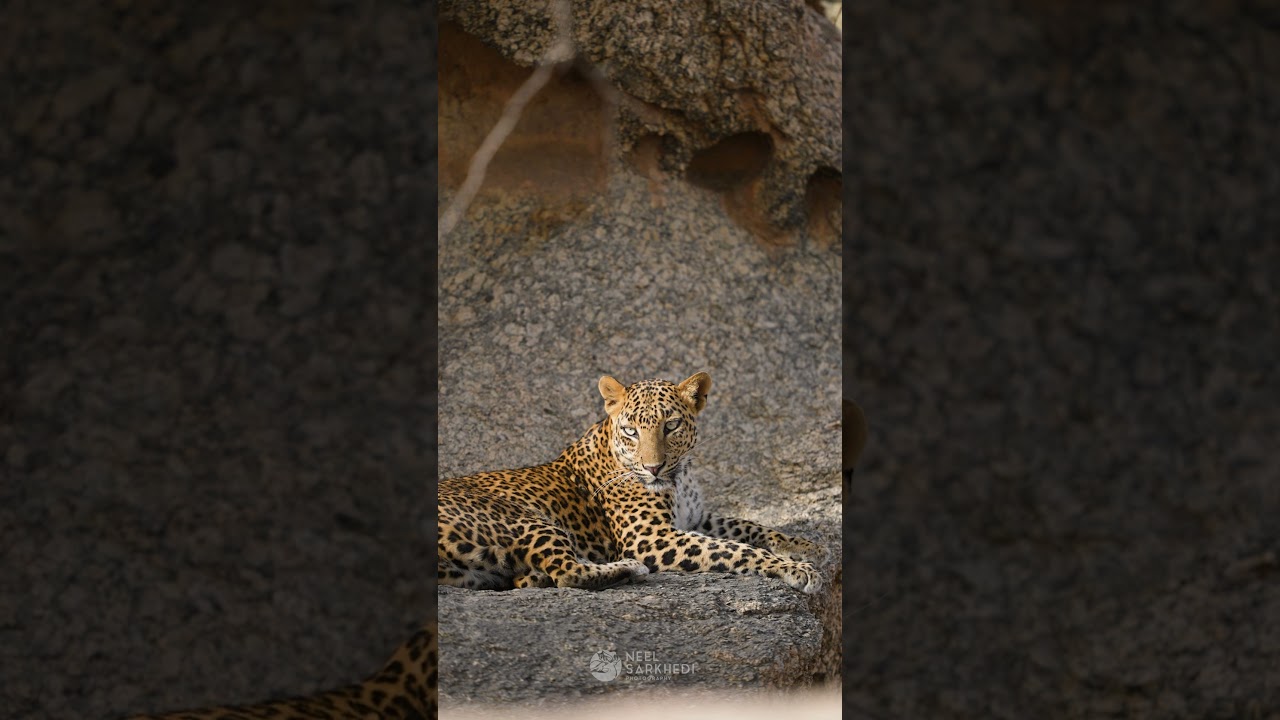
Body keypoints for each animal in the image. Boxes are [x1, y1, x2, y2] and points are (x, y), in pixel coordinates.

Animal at [438, 371, 830, 594]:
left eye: (671, 426)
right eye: (631, 431)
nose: (653, 467)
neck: (679, 477)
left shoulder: (696, 518)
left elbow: (749, 526)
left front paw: (806, 547)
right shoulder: (650, 537)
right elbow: (734, 549)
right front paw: (797, 569)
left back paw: (531, 577)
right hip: (527, 522)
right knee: (569, 572)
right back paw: (628, 569)